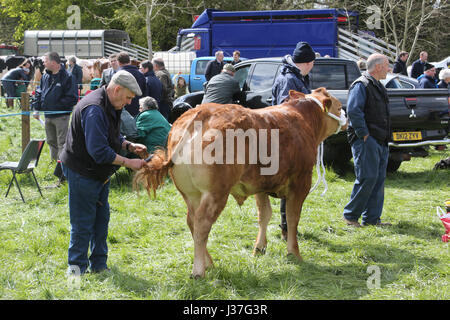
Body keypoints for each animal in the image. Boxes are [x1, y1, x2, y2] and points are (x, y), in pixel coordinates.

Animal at [134, 87, 344, 278]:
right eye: (340, 106)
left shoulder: (261, 186)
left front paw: (259, 248)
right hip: (216, 193)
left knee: (192, 221)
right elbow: (292, 218)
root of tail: (201, 112)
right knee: (202, 224)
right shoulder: (300, 183)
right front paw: (294, 253)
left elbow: (264, 215)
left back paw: (209, 263)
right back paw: (199, 270)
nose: (347, 120)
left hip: (191, 194)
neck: (302, 120)